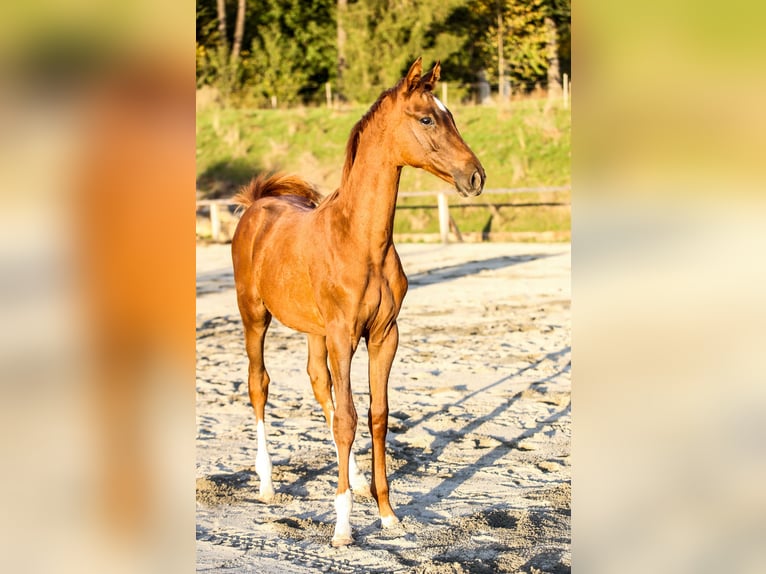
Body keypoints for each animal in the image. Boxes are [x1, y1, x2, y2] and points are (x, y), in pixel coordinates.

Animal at [232, 58, 486, 548]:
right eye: (427, 119)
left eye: (450, 116)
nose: (475, 177)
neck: (361, 240)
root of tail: (257, 204)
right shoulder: (344, 335)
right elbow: (349, 418)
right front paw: (343, 528)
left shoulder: (384, 336)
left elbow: (375, 416)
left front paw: (386, 513)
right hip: (255, 316)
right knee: (260, 385)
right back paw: (268, 484)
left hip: (314, 332)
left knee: (319, 386)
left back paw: (354, 481)